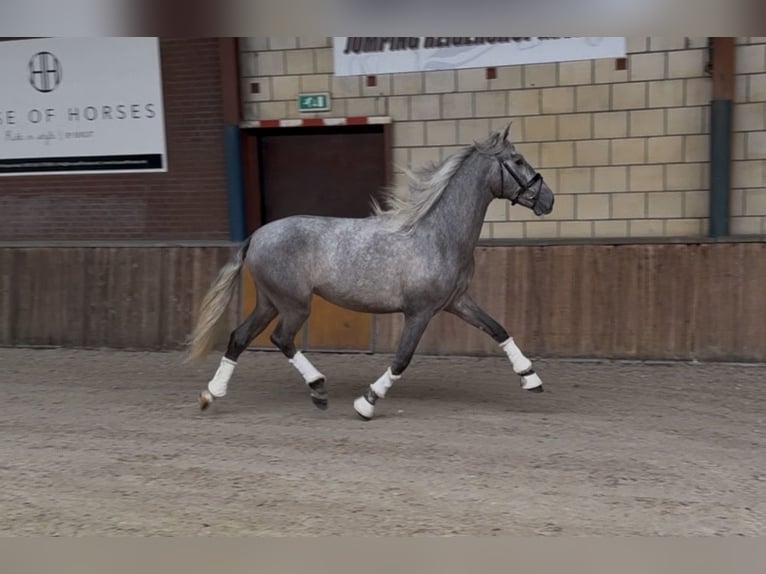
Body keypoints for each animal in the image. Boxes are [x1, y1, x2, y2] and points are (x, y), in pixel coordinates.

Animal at [188, 123, 555, 420]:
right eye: (517, 161)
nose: (548, 199)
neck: (438, 236)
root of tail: (257, 236)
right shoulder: (419, 312)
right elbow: (402, 359)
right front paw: (366, 403)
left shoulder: (456, 302)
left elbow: (497, 329)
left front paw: (531, 378)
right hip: (294, 304)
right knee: (281, 339)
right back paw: (318, 389)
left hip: (269, 302)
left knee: (240, 336)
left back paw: (210, 394)